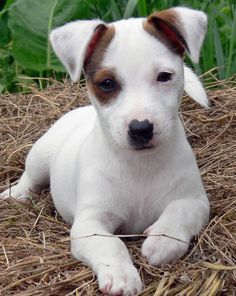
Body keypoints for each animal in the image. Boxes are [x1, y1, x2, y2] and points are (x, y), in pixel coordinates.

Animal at [0, 6, 210, 296]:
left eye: (164, 76)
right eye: (107, 83)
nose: (141, 128)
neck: (140, 166)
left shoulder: (196, 201)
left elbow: (179, 212)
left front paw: (162, 241)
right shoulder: (89, 223)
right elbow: (111, 243)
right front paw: (121, 275)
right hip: (40, 156)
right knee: (30, 178)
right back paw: (15, 194)